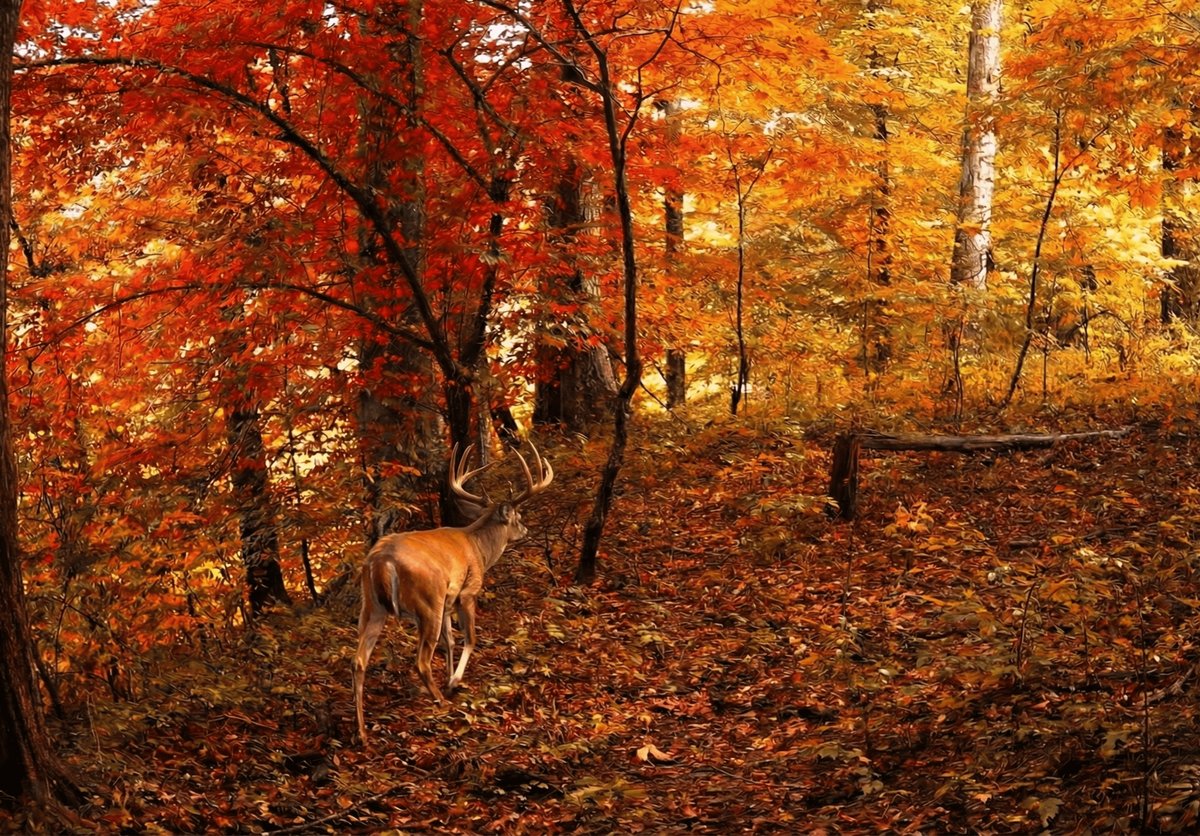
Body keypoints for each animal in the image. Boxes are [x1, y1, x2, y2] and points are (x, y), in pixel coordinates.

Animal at [352, 442, 553, 744]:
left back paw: (363, 733)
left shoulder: (448, 600)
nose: (526, 529)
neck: (479, 546)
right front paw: (454, 682)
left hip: (372, 606)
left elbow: (450, 642)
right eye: (517, 517)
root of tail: (381, 561)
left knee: (359, 660)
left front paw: (449, 678)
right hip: (427, 600)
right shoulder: (467, 592)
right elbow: (470, 638)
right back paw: (440, 701)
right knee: (421, 661)